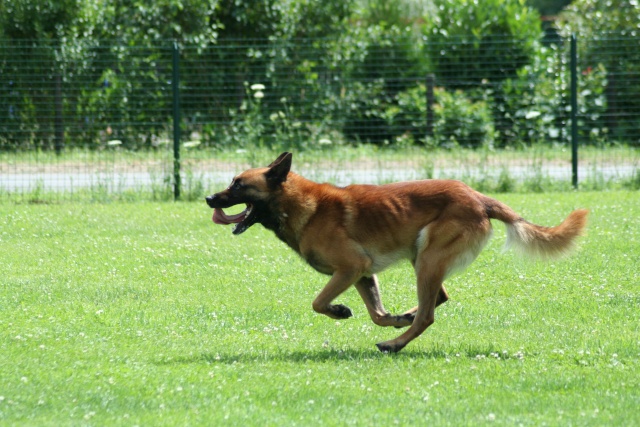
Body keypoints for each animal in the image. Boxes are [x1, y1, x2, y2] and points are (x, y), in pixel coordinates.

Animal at [206, 152, 592, 352]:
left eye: (237, 185)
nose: (209, 198)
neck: (303, 206)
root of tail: (480, 198)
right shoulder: (363, 273)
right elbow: (377, 313)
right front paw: (391, 316)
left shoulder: (350, 267)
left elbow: (318, 302)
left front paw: (339, 310)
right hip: (424, 259)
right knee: (438, 299)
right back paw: (404, 320)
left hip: (427, 259)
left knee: (429, 315)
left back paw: (395, 343)